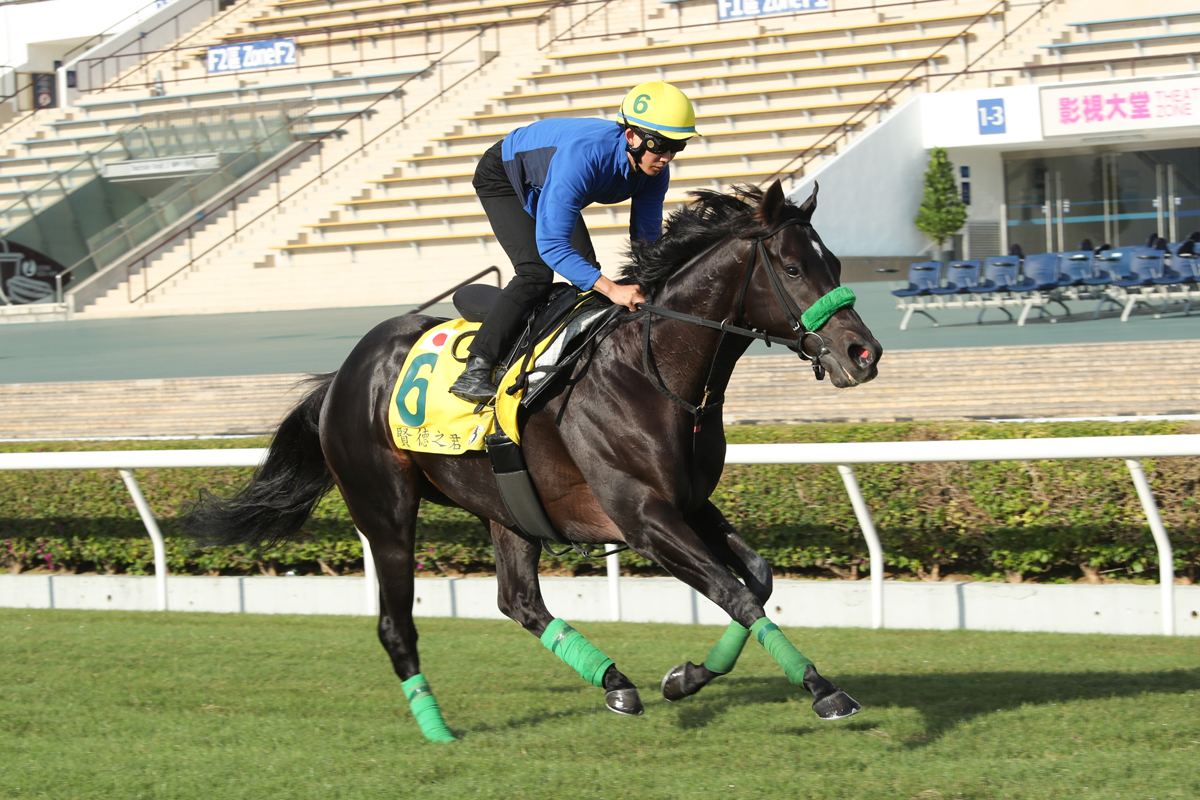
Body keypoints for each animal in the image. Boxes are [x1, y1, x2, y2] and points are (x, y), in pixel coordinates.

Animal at [184, 178, 883, 743]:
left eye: (835, 263)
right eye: (792, 267)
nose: (864, 353)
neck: (651, 371)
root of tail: (341, 376)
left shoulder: (688, 501)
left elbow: (756, 580)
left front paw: (686, 676)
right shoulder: (643, 515)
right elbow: (733, 592)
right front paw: (823, 691)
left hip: (506, 506)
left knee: (518, 601)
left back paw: (614, 682)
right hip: (384, 511)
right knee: (395, 624)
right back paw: (437, 729)